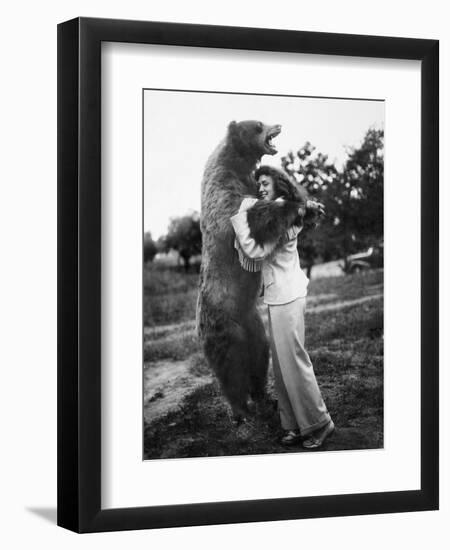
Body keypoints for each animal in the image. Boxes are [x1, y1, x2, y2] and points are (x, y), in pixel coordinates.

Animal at [196, 121, 306, 422]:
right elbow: (249, 217)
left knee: (259, 354)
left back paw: (264, 397)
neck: (235, 162)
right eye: (257, 125)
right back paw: (240, 410)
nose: (277, 124)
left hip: (252, 320)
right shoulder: (224, 195)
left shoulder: (247, 183)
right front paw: (293, 204)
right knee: (231, 367)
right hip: (225, 324)